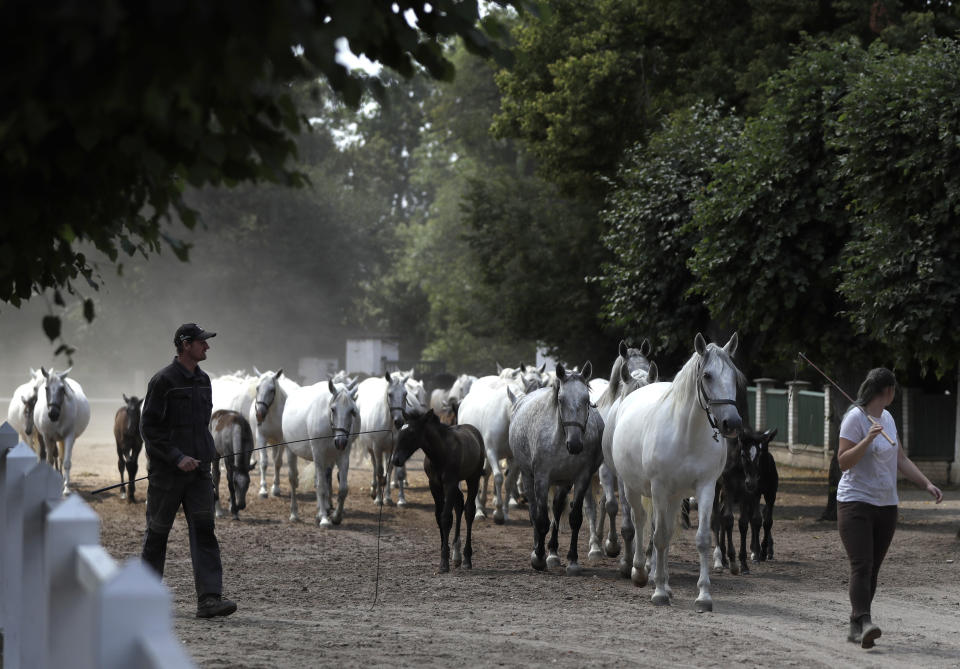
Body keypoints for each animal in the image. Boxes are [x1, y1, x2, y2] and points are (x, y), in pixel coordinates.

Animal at [249, 368, 302, 498]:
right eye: (257, 388)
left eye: (272, 390)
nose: (260, 414)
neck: (271, 414)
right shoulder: (261, 437)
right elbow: (264, 462)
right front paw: (263, 489)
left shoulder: (282, 440)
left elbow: (278, 463)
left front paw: (276, 488)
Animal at [284, 378, 364, 524]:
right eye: (333, 409)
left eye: (352, 411)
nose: (341, 442)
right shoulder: (319, 454)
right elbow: (321, 486)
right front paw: (324, 519)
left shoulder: (343, 456)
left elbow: (342, 488)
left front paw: (336, 516)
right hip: (290, 450)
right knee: (293, 479)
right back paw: (294, 514)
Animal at [356, 374, 408, 504]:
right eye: (390, 394)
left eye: (405, 394)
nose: (399, 421)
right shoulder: (377, 448)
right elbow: (379, 472)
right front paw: (379, 499)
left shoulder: (394, 448)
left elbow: (393, 471)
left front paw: (393, 498)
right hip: (371, 448)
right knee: (375, 466)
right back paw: (373, 490)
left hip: (387, 449)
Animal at [506, 360, 604, 576]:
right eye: (561, 399)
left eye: (587, 400)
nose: (575, 445)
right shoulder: (541, 478)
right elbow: (541, 519)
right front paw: (538, 558)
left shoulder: (581, 478)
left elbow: (575, 518)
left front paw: (572, 560)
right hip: (528, 476)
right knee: (534, 511)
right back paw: (540, 550)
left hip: (564, 481)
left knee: (558, 508)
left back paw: (553, 552)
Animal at [616, 334, 744, 612]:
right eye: (707, 375)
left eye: (734, 376)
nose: (731, 423)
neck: (686, 434)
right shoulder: (658, 488)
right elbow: (659, 537)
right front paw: (658, 592)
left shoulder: (706, 488)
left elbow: (701, 538)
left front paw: (704, 596)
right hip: (633, 489)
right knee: (641, 522)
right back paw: (641, 573)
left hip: (674, 497)